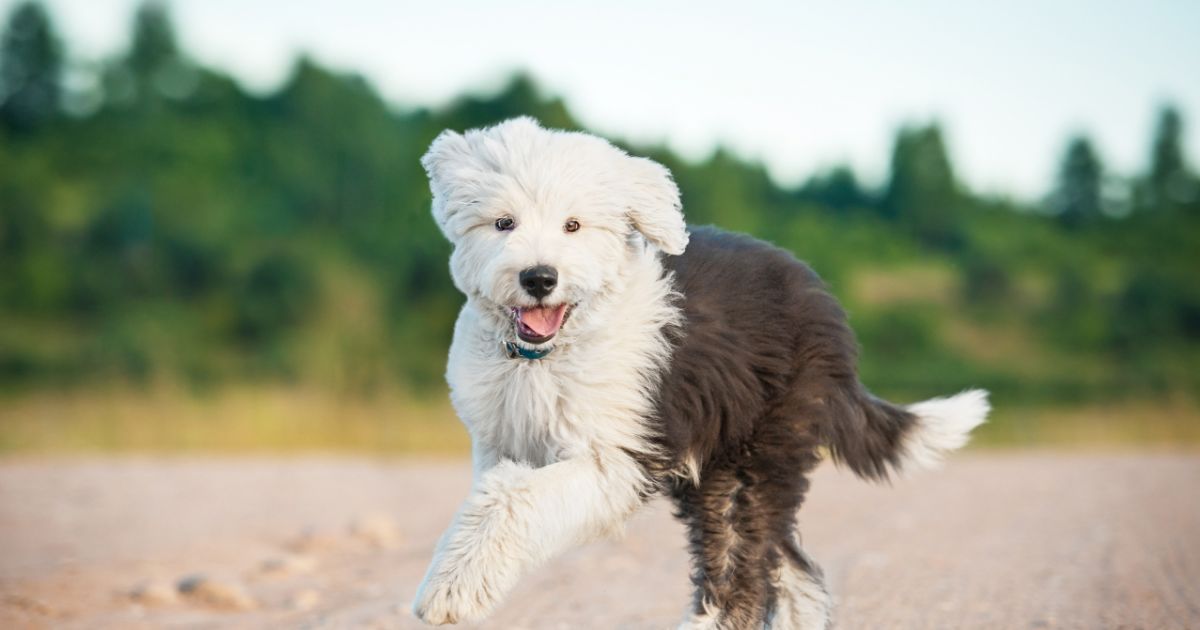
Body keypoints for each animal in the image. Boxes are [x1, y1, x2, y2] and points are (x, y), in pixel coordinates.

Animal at [408, 117, 988, 628]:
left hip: (756, 455)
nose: (539, 278)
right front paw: (455, 576)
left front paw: (447, 591)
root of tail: (826, 312)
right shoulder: (499, 441)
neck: (546, 358)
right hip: (719, 462)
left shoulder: (617, 456)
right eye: (503, 222)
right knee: (790, 570)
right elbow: (489, 502)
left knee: (745, 572)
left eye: (573, 225)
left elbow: (513, 498)